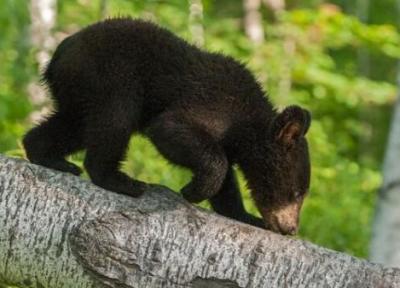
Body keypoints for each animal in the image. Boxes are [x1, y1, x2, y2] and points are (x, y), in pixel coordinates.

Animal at [22, 18, 312, 235]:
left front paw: (246, 215)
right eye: (296, 192)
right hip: (111, 78)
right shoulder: (213, 104)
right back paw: (122, 181)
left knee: (73, 126)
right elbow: (171, 129)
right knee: (114, 121)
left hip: (80, 94)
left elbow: (227, 179)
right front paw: (192, 191)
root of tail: (57, 55)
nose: (291, 228)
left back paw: (50, 157)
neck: (246, 123)